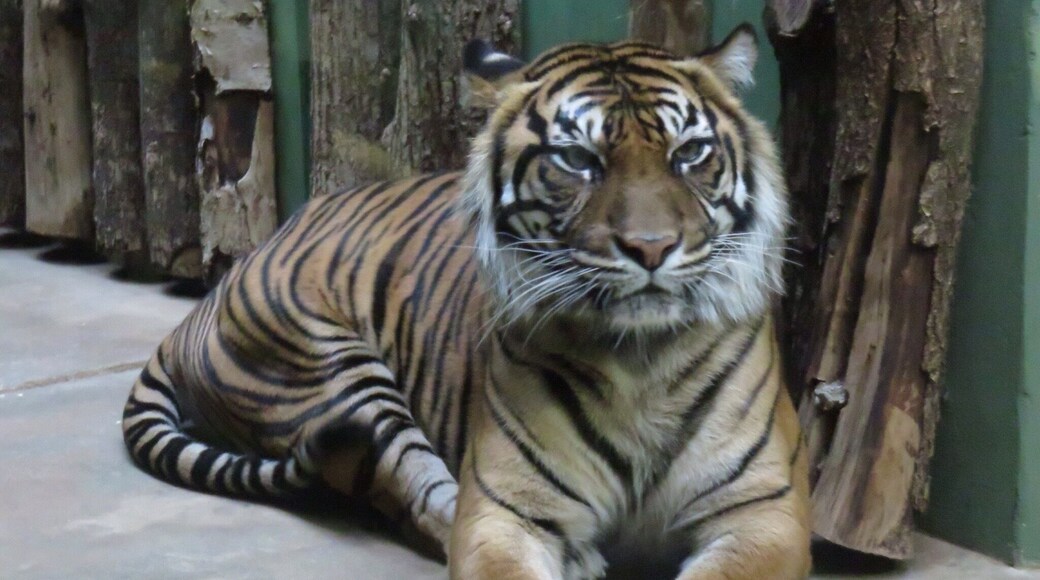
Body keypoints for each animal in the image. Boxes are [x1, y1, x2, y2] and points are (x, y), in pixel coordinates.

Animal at [121, 24, 811, 580]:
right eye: (577, 159)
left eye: (689, 153)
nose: (651, 247)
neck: (638, 361)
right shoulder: (503, 511)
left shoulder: (765, 515)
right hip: (334, 375)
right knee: (417, 496)